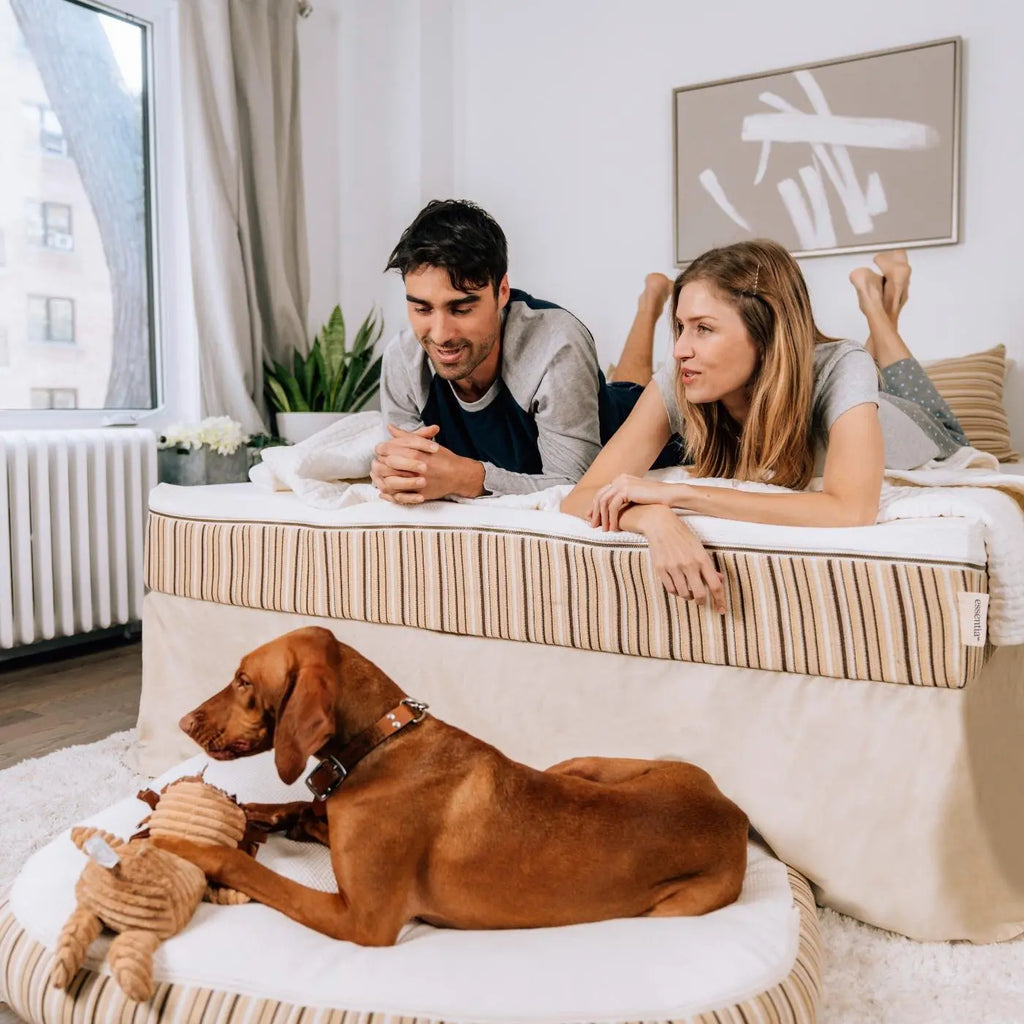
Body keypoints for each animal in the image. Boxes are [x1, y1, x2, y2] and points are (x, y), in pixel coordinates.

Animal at [161, 622, 753, 942]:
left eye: (243, 681)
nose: (182, 722)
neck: (380, 743)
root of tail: (735, 813)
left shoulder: (362, 921)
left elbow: (248, 866)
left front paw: (183, 844)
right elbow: (284, 806)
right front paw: (249, 811)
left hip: (675, 908)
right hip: (580, 764)